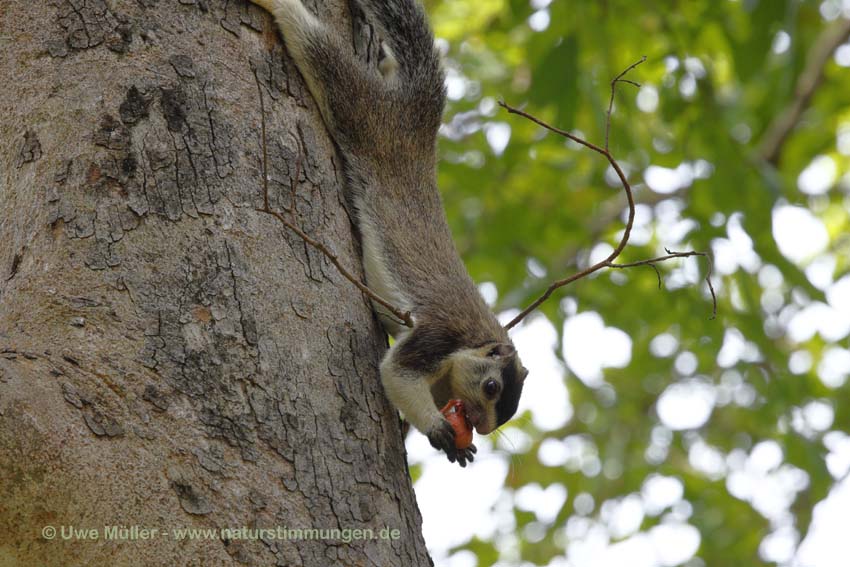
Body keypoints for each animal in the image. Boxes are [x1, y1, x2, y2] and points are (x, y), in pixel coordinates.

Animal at [245, 0, 528, 466]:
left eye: (507, 412)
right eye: (491, 387)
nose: (482, 426)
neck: (475, 337)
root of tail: (420, 115)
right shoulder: (437, 336)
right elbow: (396, 373)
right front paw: (436, 429)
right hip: (363, 113)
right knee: (321, 54)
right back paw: (279, 8)